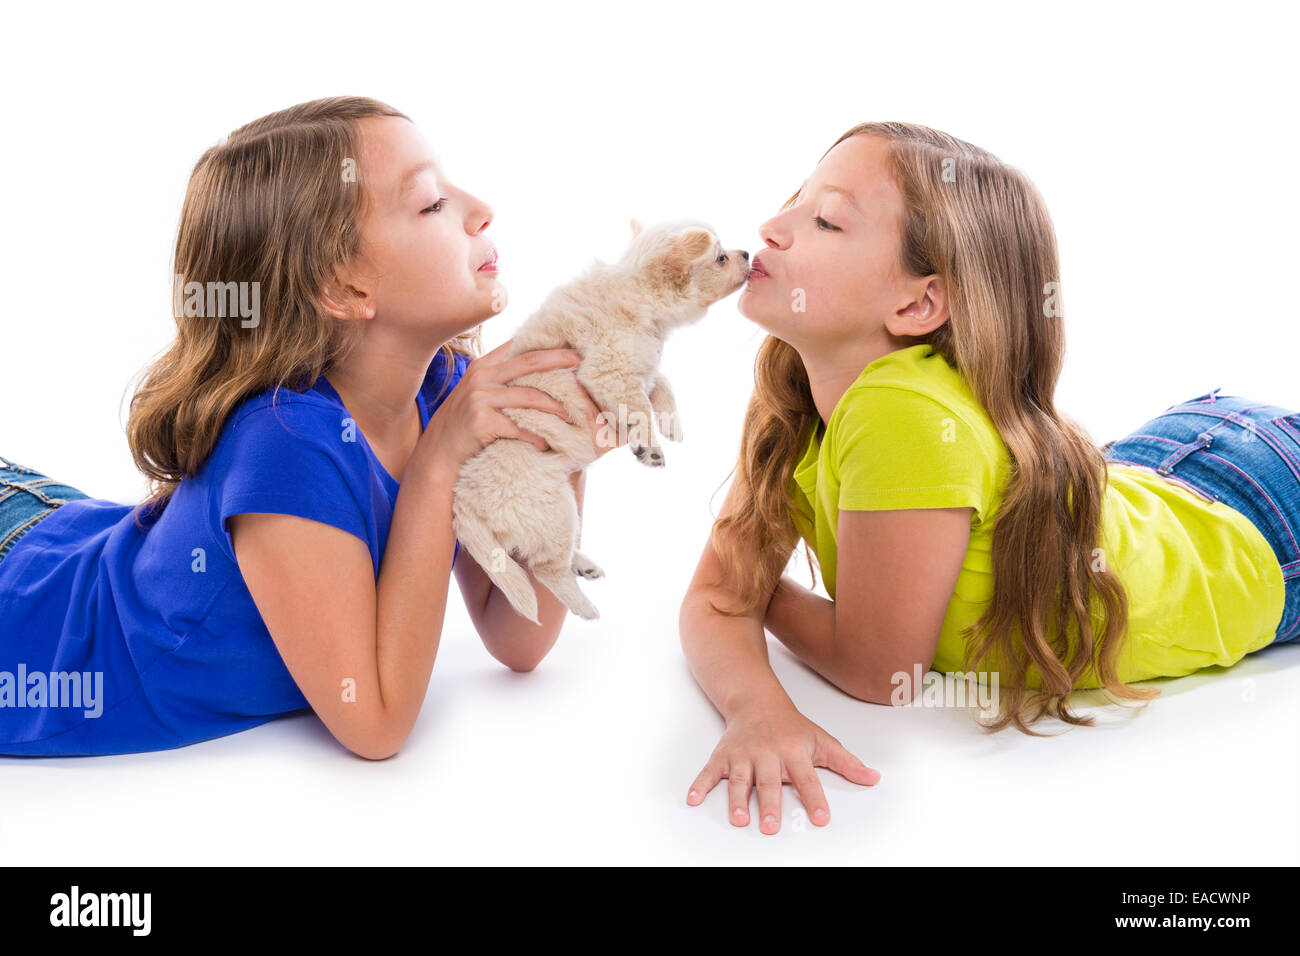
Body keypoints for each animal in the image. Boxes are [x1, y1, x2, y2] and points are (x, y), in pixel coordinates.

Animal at [452, 217, 754, 624]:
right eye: (721, 257)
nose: (748, 253)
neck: (636, 292)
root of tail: (464, 501)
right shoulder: (611, 372)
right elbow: (639, 406)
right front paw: (649, 445)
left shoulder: (640, 366)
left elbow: (661, 383)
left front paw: (671, 423)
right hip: (555, 511)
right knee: (544, 568)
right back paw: (585, 605)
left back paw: (583, 565)